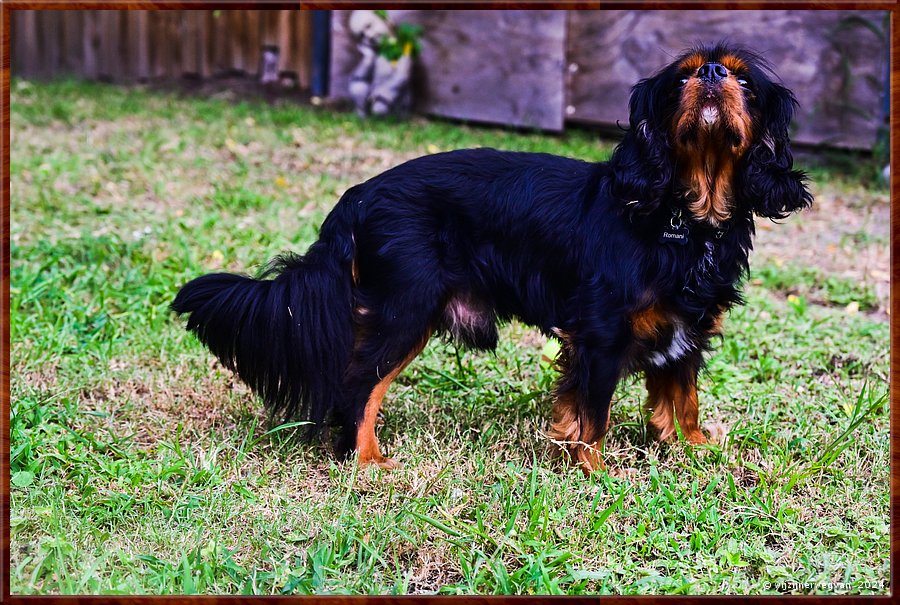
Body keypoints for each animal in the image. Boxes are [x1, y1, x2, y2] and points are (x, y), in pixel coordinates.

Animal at [172, 44, 812, 474]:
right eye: (682, 79)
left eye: (743, 79)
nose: (711, 73)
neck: (684, 214)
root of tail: (357, 198)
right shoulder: (602, 333)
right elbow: (595, 413)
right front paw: (596, 472)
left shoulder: (686, 327)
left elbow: (681, 397)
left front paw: (693, 449)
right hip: (406, 310)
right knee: (358, 387)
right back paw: (368, 463)